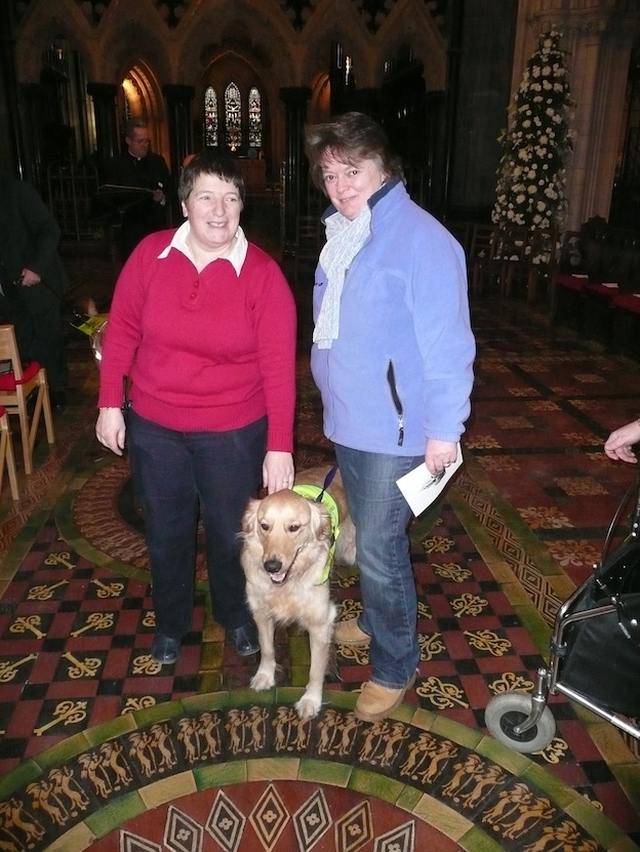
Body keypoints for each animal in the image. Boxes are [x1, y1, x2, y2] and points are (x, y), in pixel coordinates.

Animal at [241, 466, 358, 720]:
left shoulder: (320, 623)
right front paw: (265, 676)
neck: (288, 584)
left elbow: (315, 670)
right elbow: (267, 649)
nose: (272, 566)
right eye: (264, 526)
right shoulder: (261, 611)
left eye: (294, 527)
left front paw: (310, 701)